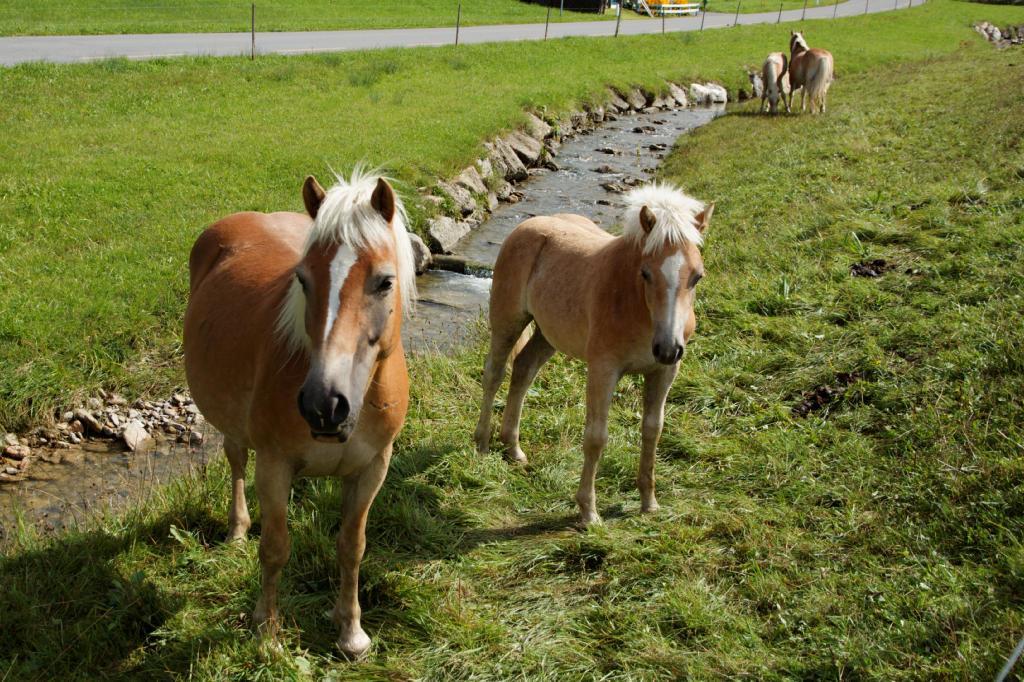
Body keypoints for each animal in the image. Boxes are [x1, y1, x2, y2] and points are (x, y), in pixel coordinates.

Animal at [183, 166, 415, 655]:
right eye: (303, 281)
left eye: (385, 281)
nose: (324, 404)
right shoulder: (274, 466)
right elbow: (275, 548)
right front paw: (267, 633)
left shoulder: (373, 468)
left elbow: (352, 546)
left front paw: (351, 631)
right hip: (234, 429)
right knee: (235, 461)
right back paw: (236, 529)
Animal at [473, 182, 708, 524]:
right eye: (646, 273)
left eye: (697, 276)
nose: (667, 348)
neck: (633, 303)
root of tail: (529, 225)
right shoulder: (603, 370)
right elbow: (597, 437)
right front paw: (588, 512)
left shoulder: (664, 371)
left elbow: (653, 430)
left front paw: (649, 502)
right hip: (508, 323)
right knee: (495, 373)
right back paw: (481, 443)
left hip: (548, 335)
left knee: (523, 370)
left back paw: (513, 448)